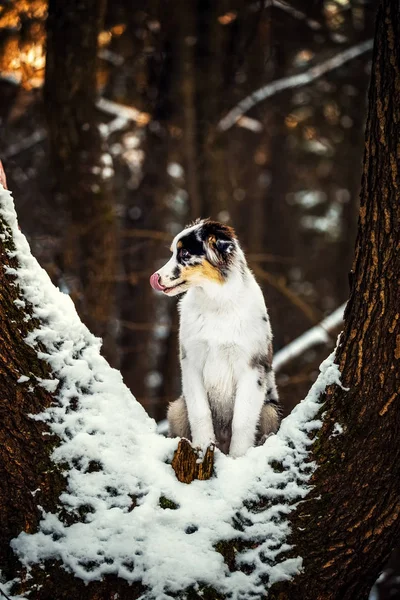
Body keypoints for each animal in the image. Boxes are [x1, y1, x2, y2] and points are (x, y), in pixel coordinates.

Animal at [150, 218, 282, 458]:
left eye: (184, 254)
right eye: (173, 252)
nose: (156, 278)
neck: (217, 304)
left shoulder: (251, 367)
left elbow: (242, 420)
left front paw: (237, 457)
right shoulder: (191, 362)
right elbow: (200, 413)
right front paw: (202, 448)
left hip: (270, 410)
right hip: (176, 408)